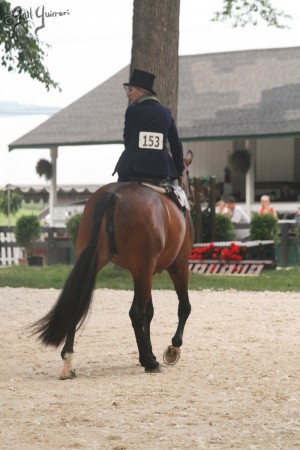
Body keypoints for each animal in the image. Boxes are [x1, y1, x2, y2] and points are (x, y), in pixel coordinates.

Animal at [29, 150, 195, 376]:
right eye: (187, 172)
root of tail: (113, 195)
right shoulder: (178, 265)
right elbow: (183, 307)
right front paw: (171, 349)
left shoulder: (145, 272)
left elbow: (149, 312)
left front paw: (151, 352)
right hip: (146, 268)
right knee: (135, 313)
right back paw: (150, 363)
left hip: (103, 261)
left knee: (78, 302)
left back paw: (68, 362)